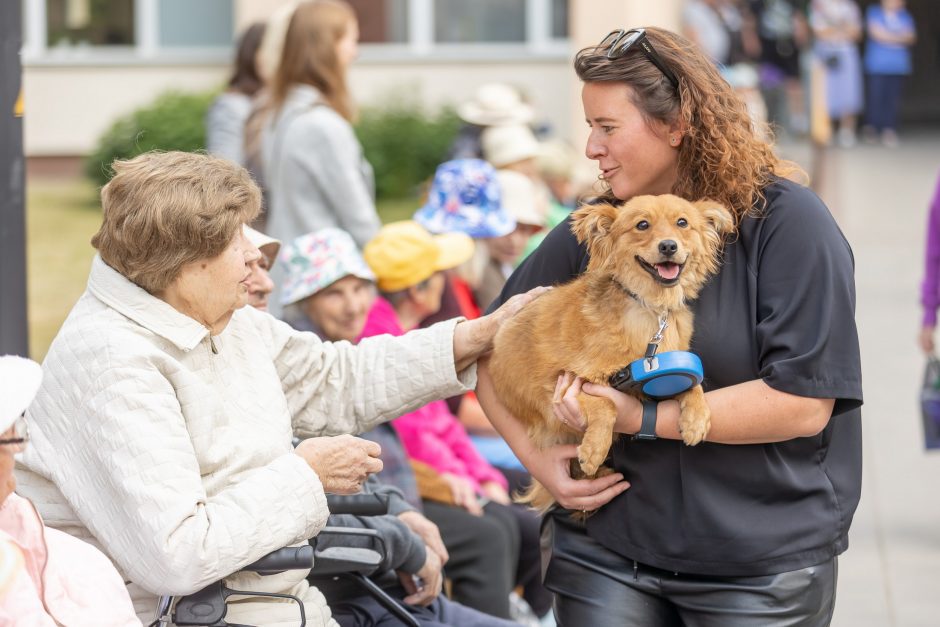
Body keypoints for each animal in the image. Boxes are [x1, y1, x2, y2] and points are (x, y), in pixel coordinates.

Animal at [492, 195, 736, 516]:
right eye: (642, 225)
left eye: (683, 223)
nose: (668, 246)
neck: (652, 309)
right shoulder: (563, 383)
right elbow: (606, 405)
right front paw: (594, 448)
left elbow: (694, 387)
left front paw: (696, 419)